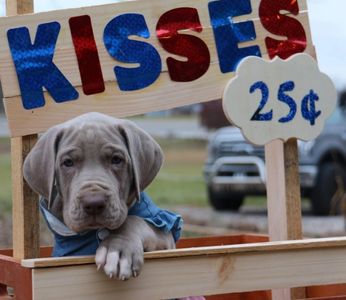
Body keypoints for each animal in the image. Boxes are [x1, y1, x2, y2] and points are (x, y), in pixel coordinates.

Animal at [23, 112, 177, 278]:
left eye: (116, 159)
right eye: (68, 162)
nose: (94, 203)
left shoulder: (166, 235)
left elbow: (134, 220)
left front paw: (118, 249)